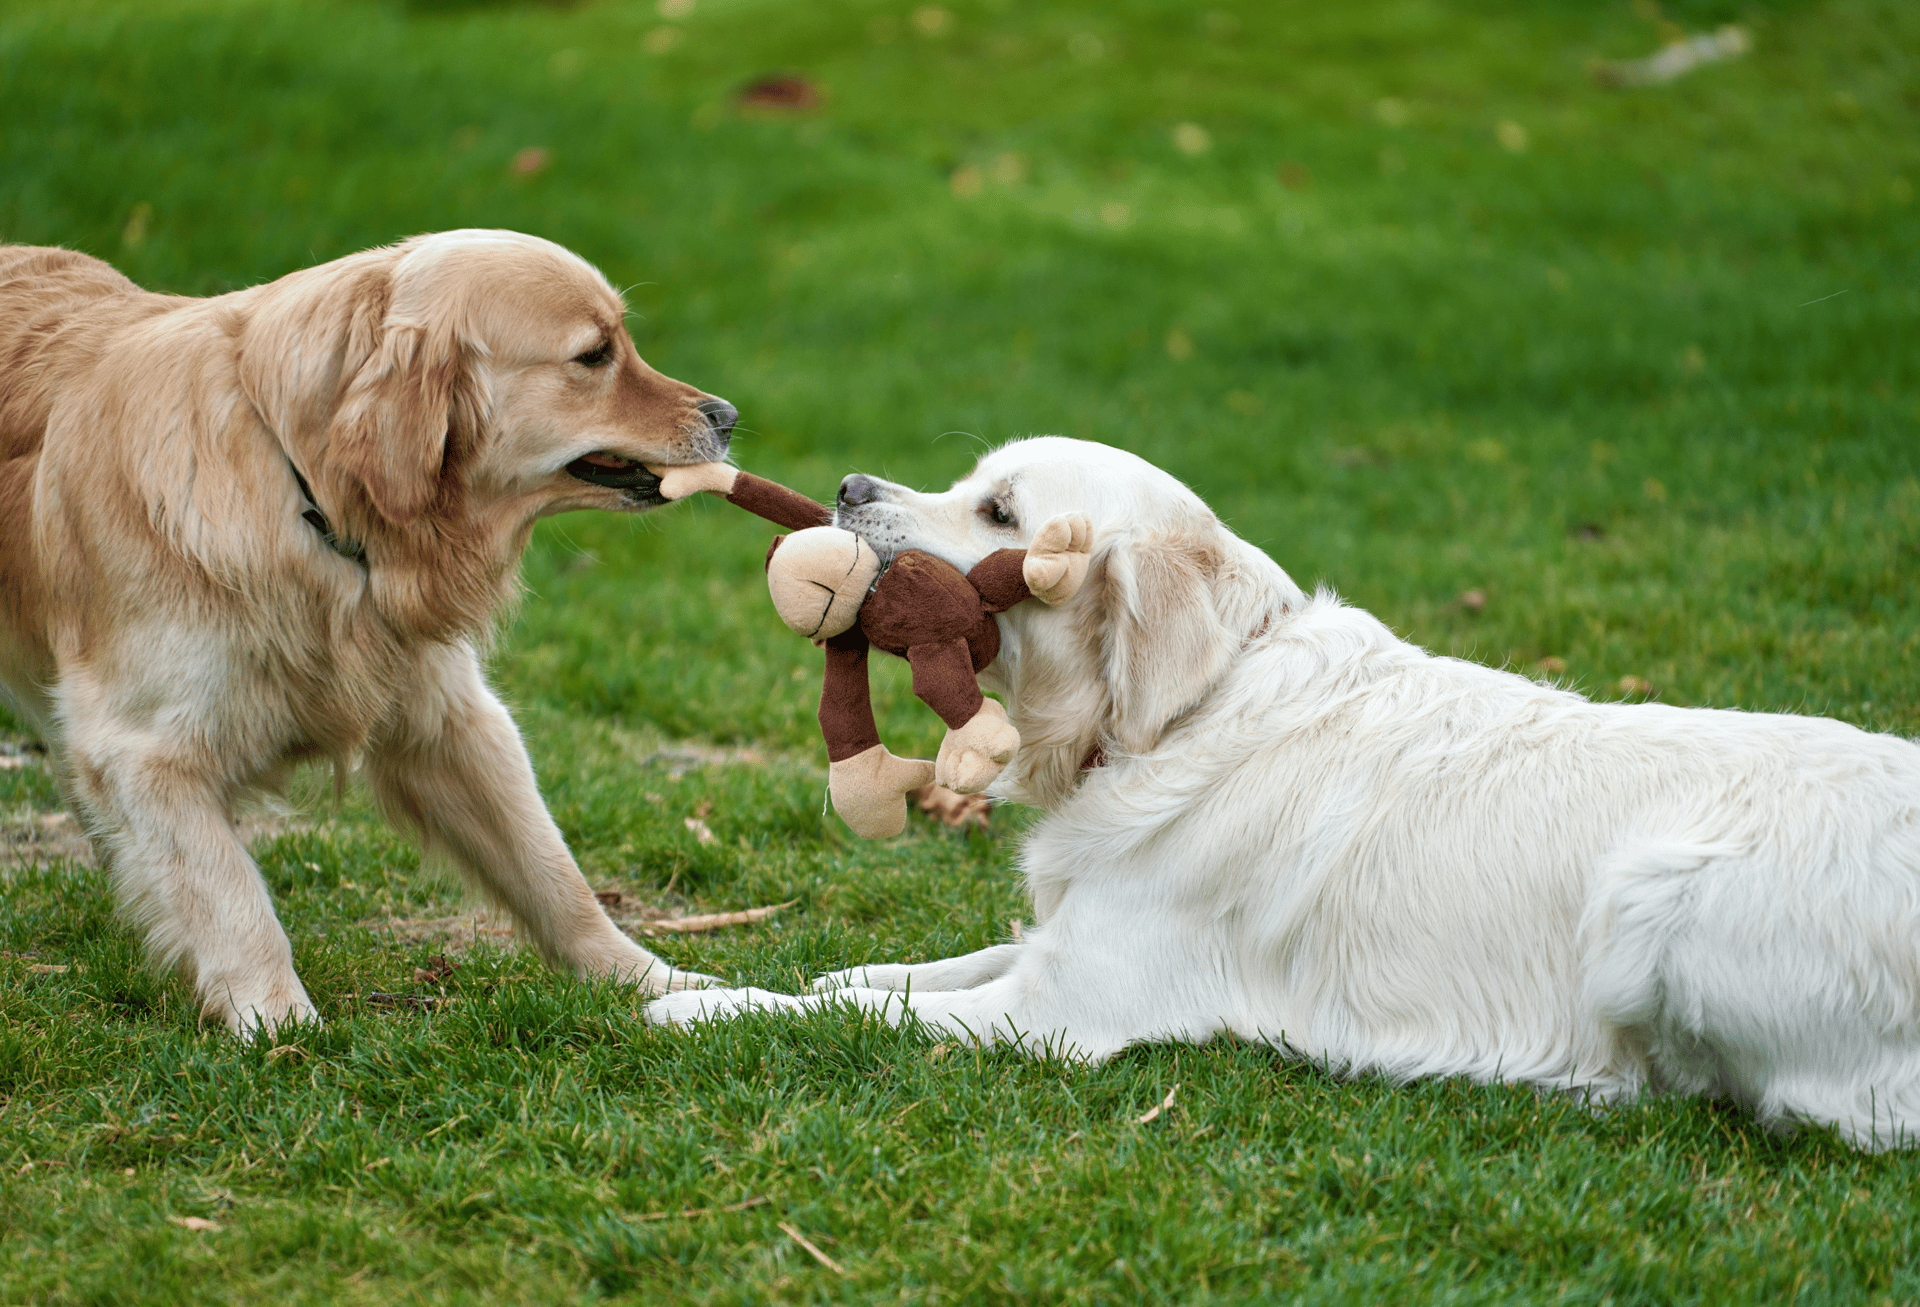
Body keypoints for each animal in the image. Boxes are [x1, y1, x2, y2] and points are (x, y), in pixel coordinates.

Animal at [0, 232, 725, 1028]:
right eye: (595, 355)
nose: (726, 415)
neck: (307, 489)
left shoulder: (450, 718)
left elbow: (552, 872)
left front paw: (651, 978)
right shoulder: (142, 753)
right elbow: (234, 899)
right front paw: (280, 1025)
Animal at [648, 435, 1920, 1143]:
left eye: (1000, 511)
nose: (849, 482)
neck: (1185, 712)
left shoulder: (1059, 1012)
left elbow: (836, 1010)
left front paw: (702, 1006)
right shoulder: (1067, 942)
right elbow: (908, 970)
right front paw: (839, 965)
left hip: (1661, 905)